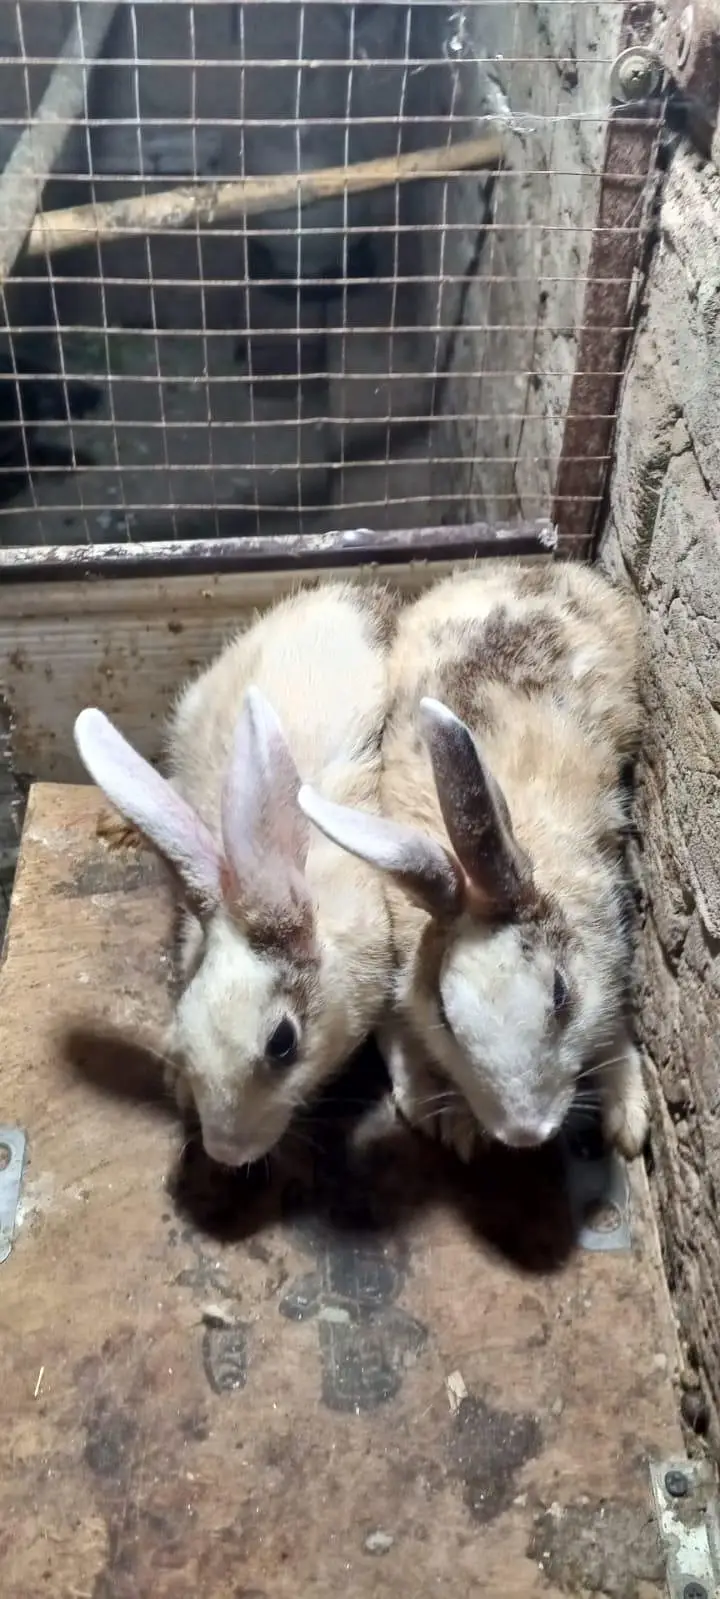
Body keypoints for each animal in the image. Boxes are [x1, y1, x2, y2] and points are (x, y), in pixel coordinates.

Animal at [298, 559, 649, 1163]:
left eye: (561, 993)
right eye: (445, 1016)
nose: (526, 1133)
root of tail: (513, 568)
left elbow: (612, 1031)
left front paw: (629, 1123)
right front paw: (447, 1119)